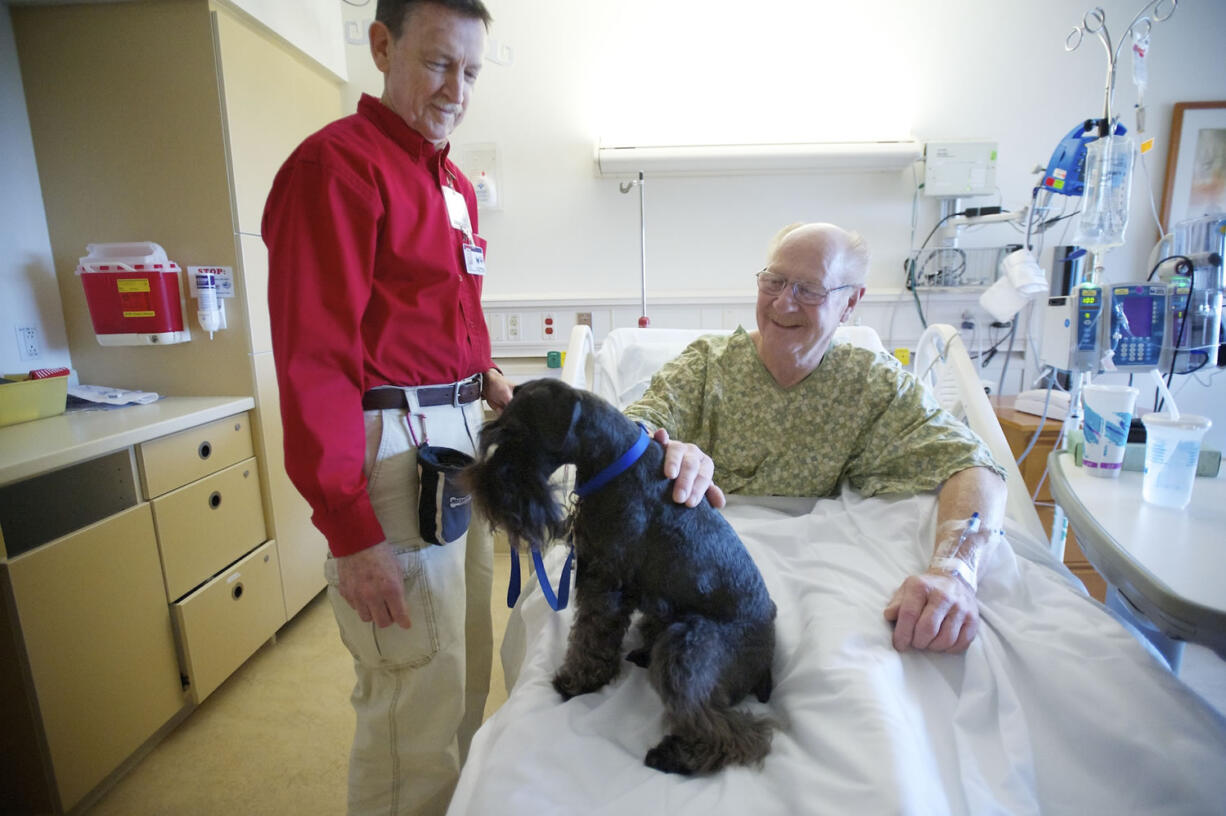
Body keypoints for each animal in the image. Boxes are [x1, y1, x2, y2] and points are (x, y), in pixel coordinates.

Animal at [465, 377, 774, 774]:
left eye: (516, 433)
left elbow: (591, 635)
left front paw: (577, 681)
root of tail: (766, 661)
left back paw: (678, 755)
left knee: (730, 728)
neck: (612, 460)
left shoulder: (604, 580)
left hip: (686, 648)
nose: (481, 486)